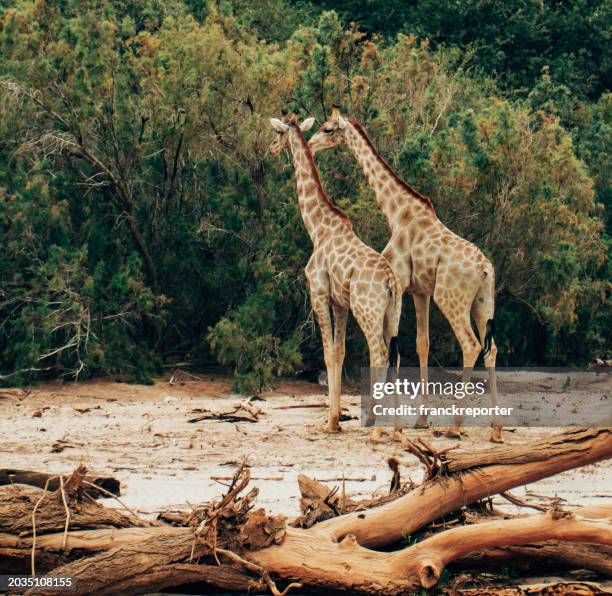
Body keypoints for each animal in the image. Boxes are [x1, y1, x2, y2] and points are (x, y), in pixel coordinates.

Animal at [270, 113, 404, 438]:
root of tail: (390, 281)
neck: (317, 227)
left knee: (379, 354)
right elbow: (340, 352)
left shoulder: (318, 291)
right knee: (395, 355)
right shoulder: (340, 301)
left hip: (367, 311)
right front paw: (335, 419)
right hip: (392, 313)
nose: (270, 149)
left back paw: (377, 430)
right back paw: (397, 431)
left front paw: (330, 422)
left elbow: (328, 353)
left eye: (277, 133)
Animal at [310, 106, 502, 442]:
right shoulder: (420, 291)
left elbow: (390, 346)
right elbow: (421, 344)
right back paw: (496, 429)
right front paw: (420, 420)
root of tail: (484, 268)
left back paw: (455, 427)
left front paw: (377, 418)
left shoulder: (400, 282)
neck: (397, 212)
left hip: (450, 298)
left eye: (328, 129)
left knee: (471, 345)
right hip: (482, 301)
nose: (310, 145)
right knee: (491, 349)